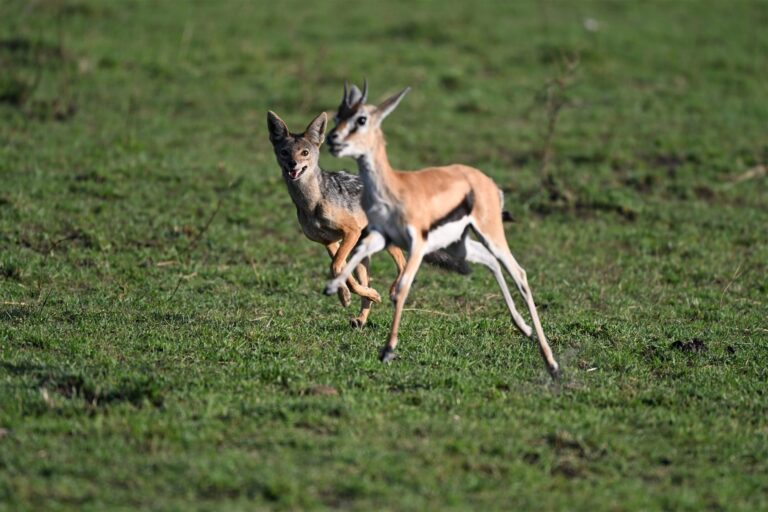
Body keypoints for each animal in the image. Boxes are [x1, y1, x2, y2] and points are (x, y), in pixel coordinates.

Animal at [323, 82, 560, 378]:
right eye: (337, 116)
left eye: (361, 119)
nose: (332, 139)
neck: (395, 187)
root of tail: (486, 181)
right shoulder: (380, 236)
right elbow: (354, 258)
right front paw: (338, 290)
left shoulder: (417, 245)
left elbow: (402, 287)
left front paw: (388, 349)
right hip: (460, 245)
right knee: (491, 262)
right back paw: (524, 329)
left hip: (489, 234)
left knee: (518, 272)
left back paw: (551, 362)